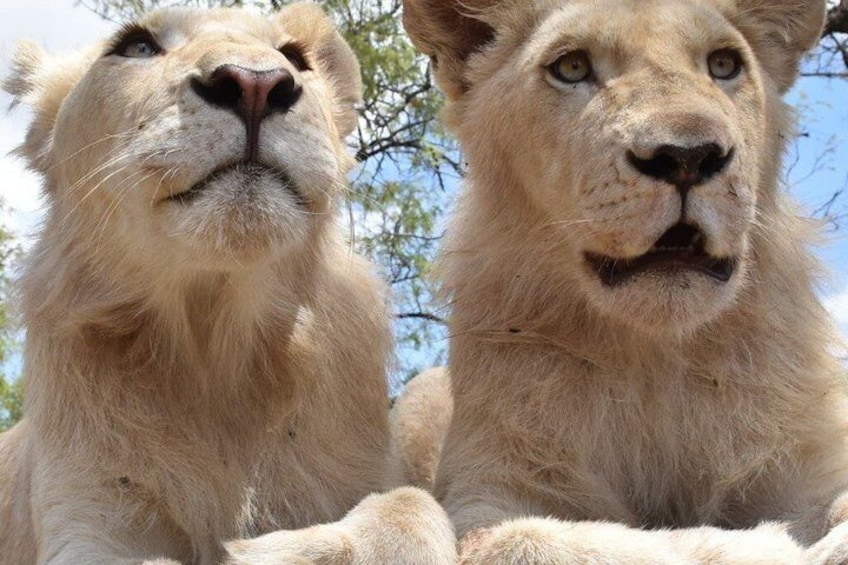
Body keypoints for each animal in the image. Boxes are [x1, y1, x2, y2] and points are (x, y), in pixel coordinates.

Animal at [401, 0, 848, 562]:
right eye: (572, 67)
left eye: (724, 65)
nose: (687, 157)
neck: (652, 356)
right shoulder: (488, 491)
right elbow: (525, 537)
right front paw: (764, 541)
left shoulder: (808, 464)